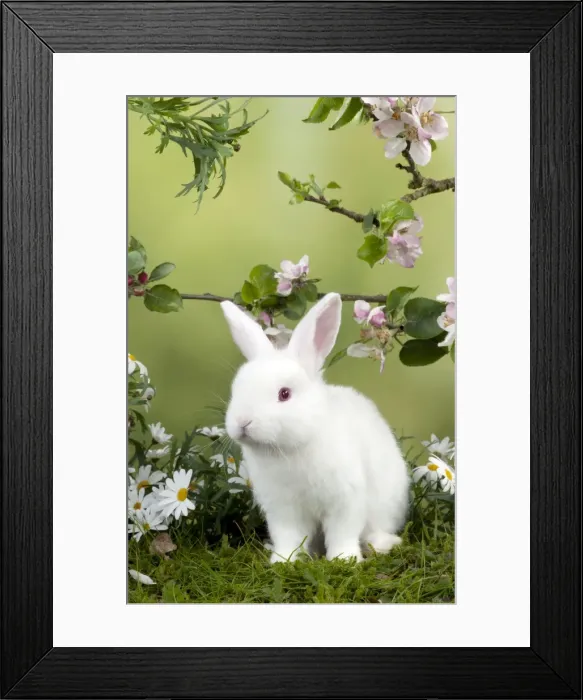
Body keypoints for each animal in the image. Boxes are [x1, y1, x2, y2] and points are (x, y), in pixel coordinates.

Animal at [220, 292, 409, 563]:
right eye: (236, 389)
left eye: (284, 394)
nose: (242, 422)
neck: (290, 449)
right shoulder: (282, 508)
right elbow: (288, 536)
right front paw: (283, 560)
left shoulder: (346, 500)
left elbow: (343, 532)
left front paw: (345, 559)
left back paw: (382, 544)